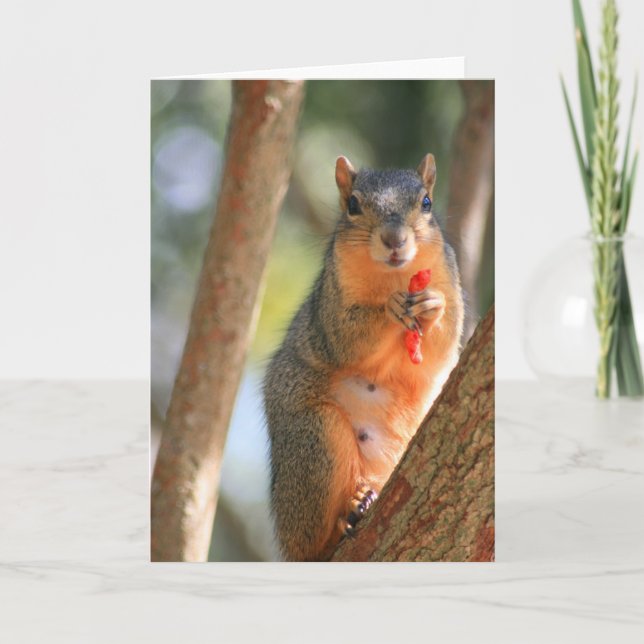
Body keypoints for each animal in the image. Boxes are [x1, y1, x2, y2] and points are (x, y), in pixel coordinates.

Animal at [263, 153, 464, 561]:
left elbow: (442, 347)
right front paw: (388, 309)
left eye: (426, 203)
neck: (395, 278)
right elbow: (347, 337)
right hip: (315, 441)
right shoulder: (330, 307)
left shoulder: (449, 279)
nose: (394, 240)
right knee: (313, 540)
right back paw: (348, 515)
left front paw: (432, 306)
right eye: (353, 205)